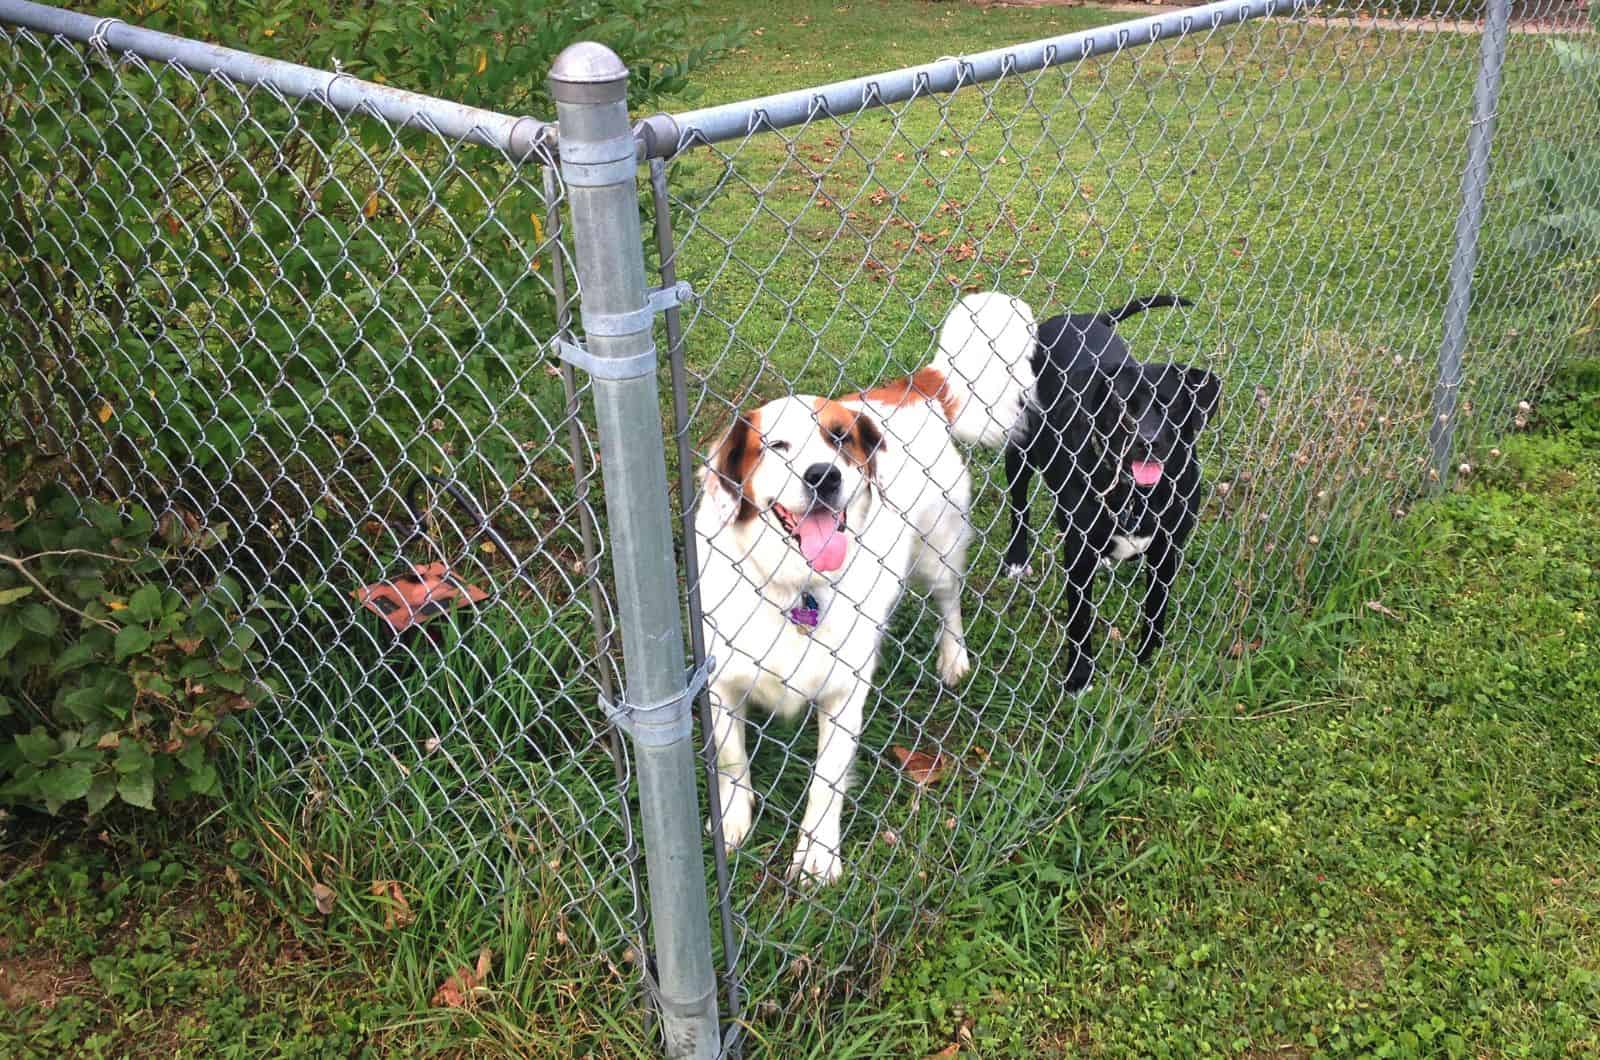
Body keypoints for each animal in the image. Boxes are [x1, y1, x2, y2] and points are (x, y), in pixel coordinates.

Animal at [700, 293, 1036, 890]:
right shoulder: (721, 682)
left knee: (949, 602)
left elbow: (826, 781)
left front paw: (816, 855)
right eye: (776, 445)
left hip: (938, 553)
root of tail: (912, 388)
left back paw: (953, 658)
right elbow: (732, 763)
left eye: (839, 439)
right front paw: (734, 826)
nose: (823, 476)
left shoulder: (844, 691)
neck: (795, 586)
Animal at [1004, 296, 1216, 698]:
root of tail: (1083, 317)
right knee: (1018, 506)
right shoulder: (1078, 555)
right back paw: (1016, 558)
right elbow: (1079, 619)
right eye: (1121, 404)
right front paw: (1079, 677)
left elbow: (1155, 608)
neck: (1136, 494)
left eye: (1169, 404)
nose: (1147, 441)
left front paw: (1148, 656)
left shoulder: (1168, 549)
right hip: (1020, 445)